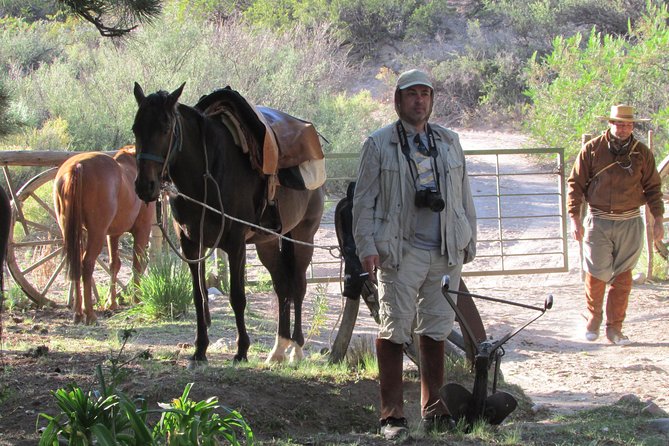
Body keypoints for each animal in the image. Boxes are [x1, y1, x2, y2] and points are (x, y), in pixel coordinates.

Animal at [53, 146, 155, 324]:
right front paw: (137, 298)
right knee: (86, 264)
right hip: (96, 233)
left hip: (74, 233)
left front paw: (111, 302)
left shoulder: (113, 234)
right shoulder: (142, 230)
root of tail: (77, 166)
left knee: (76, 265)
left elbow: (114, 265)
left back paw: (78, 312)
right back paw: (90, 314)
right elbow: (137, 263)